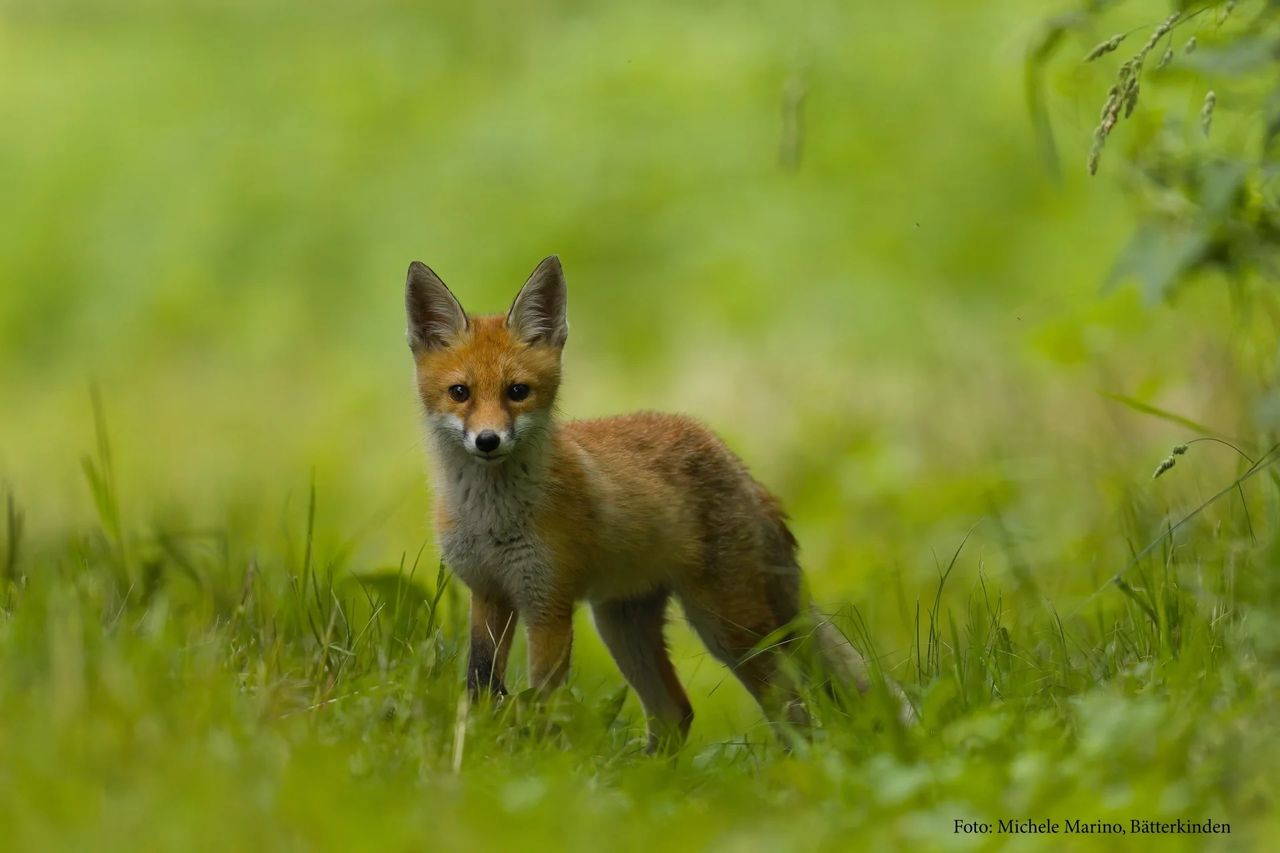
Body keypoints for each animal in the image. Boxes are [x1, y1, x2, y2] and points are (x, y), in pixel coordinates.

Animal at [405, 255, 897, 750]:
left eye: (517, 392)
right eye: (460, 393)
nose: (488, 441)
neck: (491, 518)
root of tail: (739, 467)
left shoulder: (548, 604)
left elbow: (544, 701)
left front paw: (540, 755)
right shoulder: (488, 594)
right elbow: (481, 685)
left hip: (729, 626)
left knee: (791, 708)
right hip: (622, 624)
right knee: (676, 711)